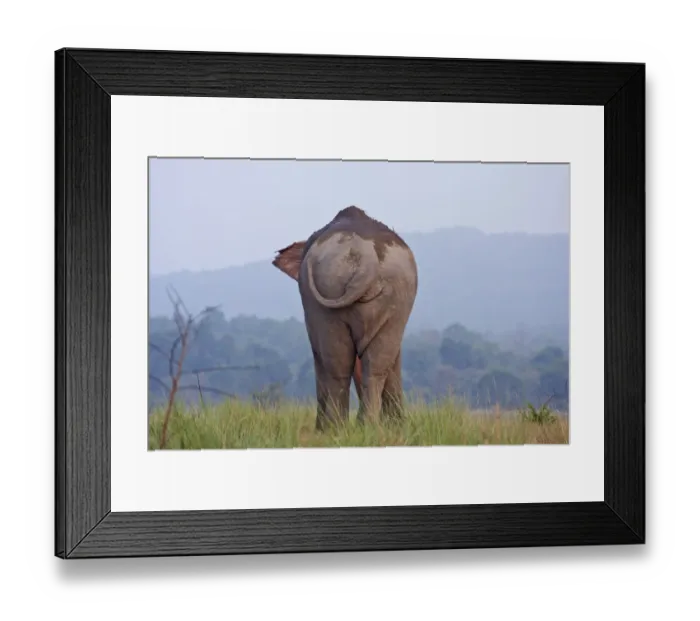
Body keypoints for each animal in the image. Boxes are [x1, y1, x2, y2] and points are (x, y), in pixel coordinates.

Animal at [272, 205, 418, 430]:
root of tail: (367, 258)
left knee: (338, 361)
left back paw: (337, 428)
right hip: (392, 296)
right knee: (373, 362)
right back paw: (362, 426)